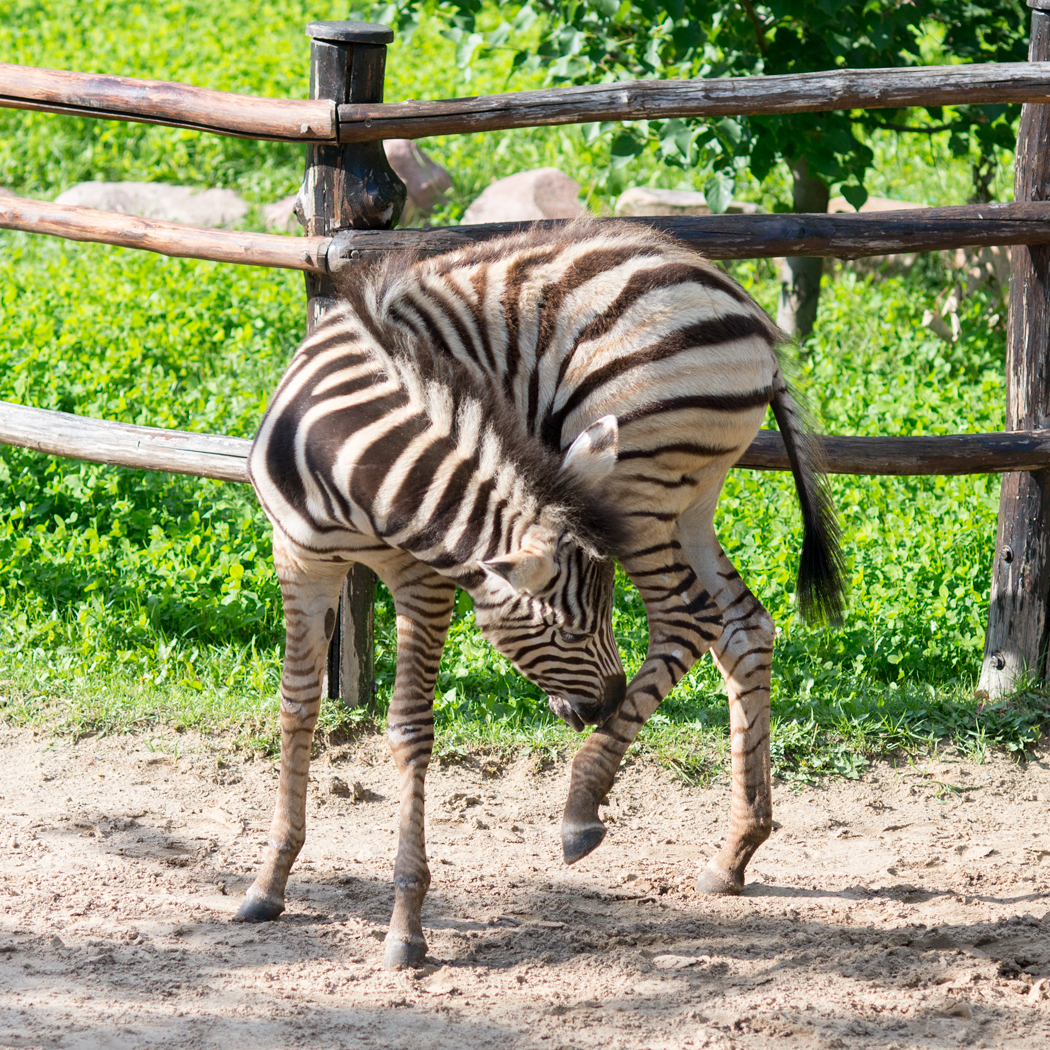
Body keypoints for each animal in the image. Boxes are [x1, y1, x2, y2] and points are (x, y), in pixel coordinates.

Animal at [240, 277, 625, 965]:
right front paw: (269, 880)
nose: (613, 700)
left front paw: (405, 926)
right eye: (569, 632)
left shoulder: (425, 578)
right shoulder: (298, 559)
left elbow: (410, 729)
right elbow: (297, 704)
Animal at [354, 221, 844, 894]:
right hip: (689, 501)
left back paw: (582, 809)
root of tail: (754, 327)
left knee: (689, 620)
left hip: (635, 479)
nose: (592, 708)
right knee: (744, 626)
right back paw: (735, 851)